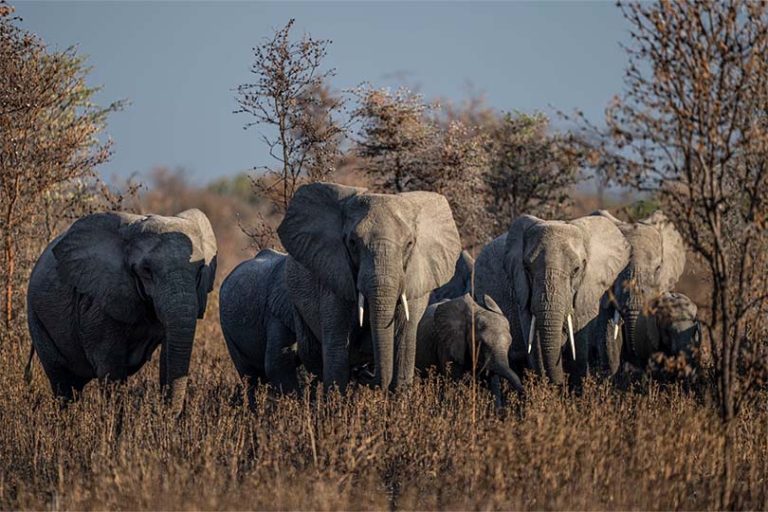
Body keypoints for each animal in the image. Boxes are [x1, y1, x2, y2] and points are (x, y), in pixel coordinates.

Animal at [26, 210, 217, 410]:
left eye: (200, 270)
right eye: (146, 270)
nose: (167, 413)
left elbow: (167, 357)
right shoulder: (101, 304)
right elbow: (111, 368)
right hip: (36, 318)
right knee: (62, 382)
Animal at [277, 182, 461, 393]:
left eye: (409, 244)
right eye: (352, 243)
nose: (365, 373)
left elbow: (404, 348)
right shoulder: (334, 279)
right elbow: (336, 353)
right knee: (313, 356)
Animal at [475, 215, 630, 385]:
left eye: (576, 270)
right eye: (527, 268)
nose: (559, 382)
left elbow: (579, 351)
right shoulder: (522, 293)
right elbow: (535, 348)